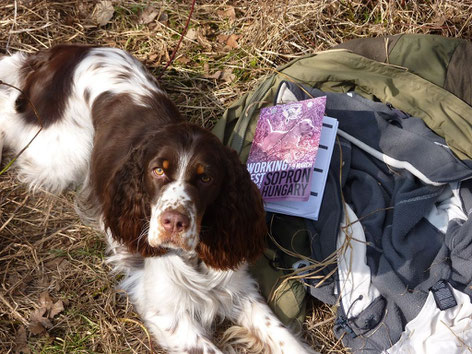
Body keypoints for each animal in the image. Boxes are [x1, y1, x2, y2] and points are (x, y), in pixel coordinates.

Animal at [0, 45, 318, 354]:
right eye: (158, 170)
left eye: (206, 178)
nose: (173, 223)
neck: (193, 258)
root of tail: (67, 51)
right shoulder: (169, 315)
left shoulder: (240, 290)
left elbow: (282, 337)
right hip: (63, 155)